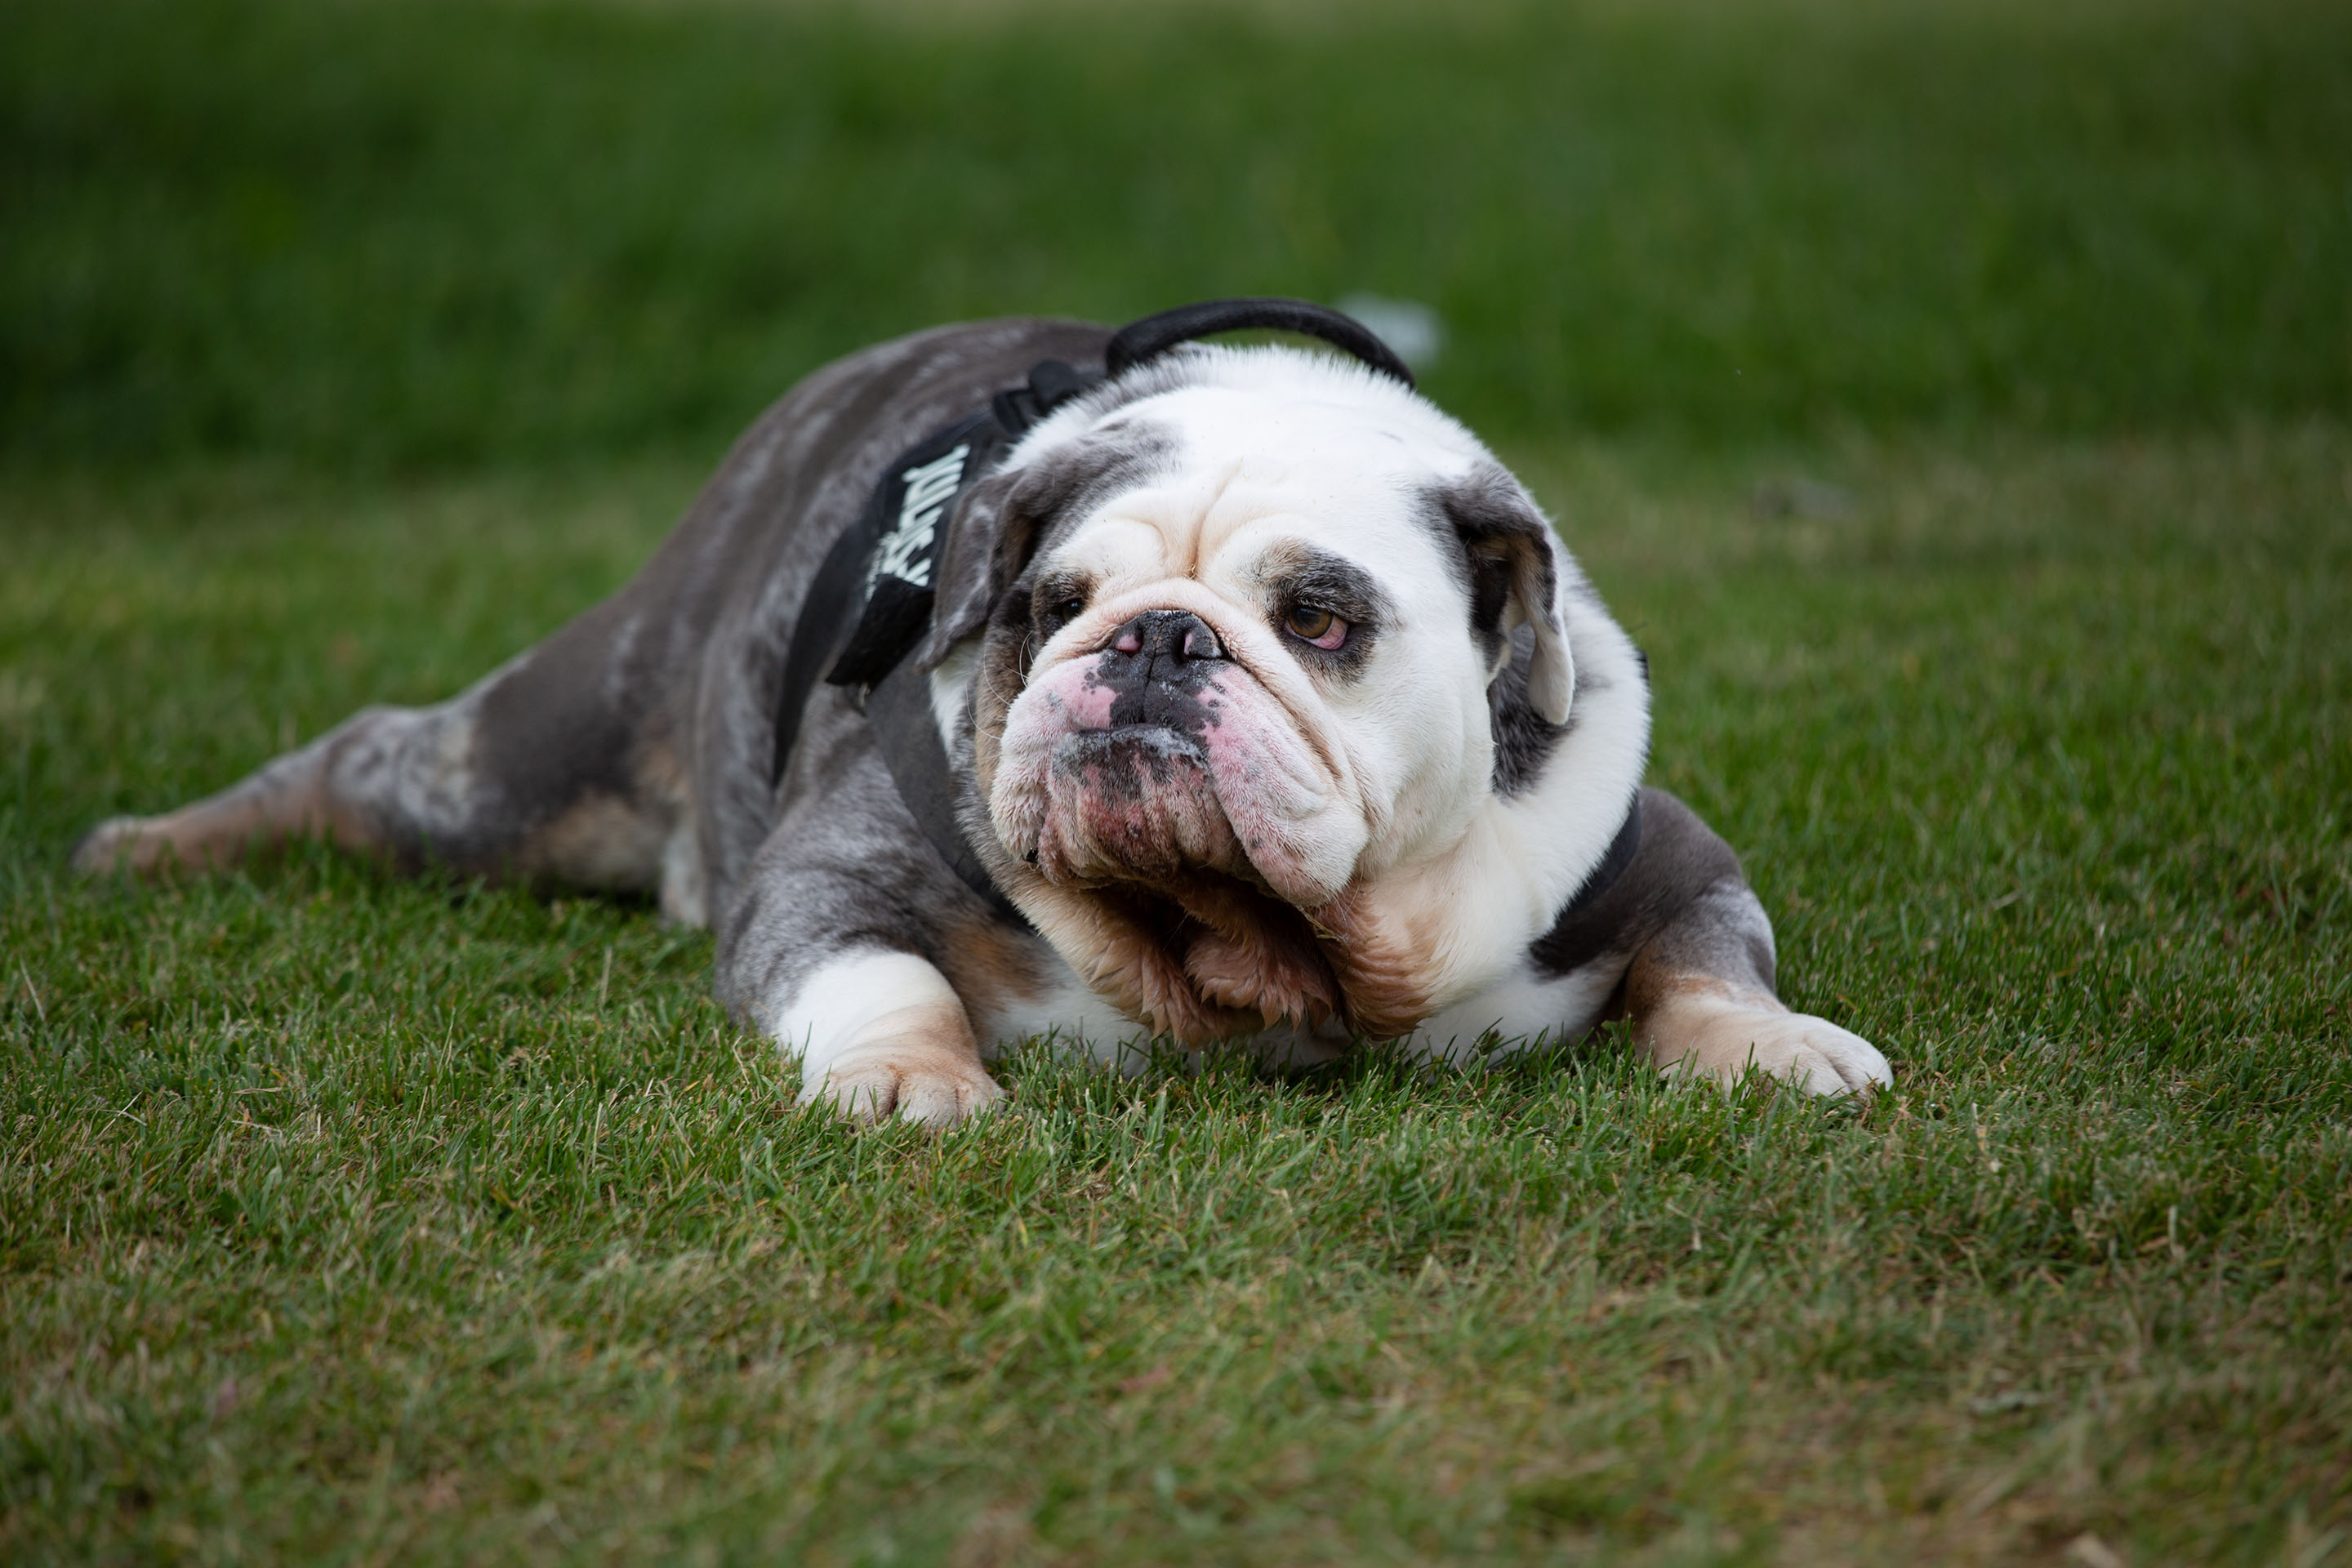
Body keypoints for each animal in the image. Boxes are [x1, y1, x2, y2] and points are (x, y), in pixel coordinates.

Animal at [78, 301, 1891, 1123]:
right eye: (1046, 604)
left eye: (1319, 617)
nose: (1159, 643)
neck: (1257, 953)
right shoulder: (827, 878)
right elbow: (879, 974)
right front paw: (912, 1081)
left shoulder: (1662, 853)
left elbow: (1709, 964)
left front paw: (1782, 1049)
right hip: (535, 762)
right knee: (368, 761)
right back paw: (151, 847)